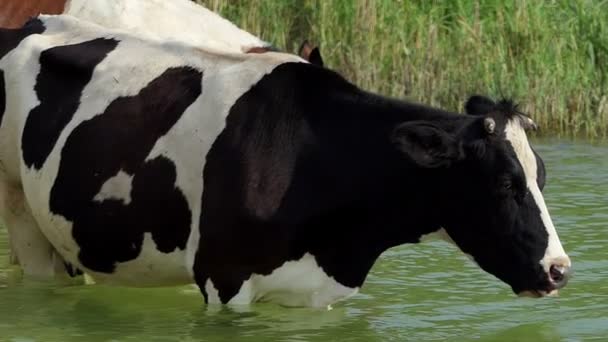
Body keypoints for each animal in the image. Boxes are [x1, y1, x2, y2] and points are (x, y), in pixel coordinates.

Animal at [0, 14, 568, 308]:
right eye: (505, 183)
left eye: (542, 178)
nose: (559, 270)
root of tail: (33, 22)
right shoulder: (224, 280)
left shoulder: (318, 291)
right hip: (19, 209)